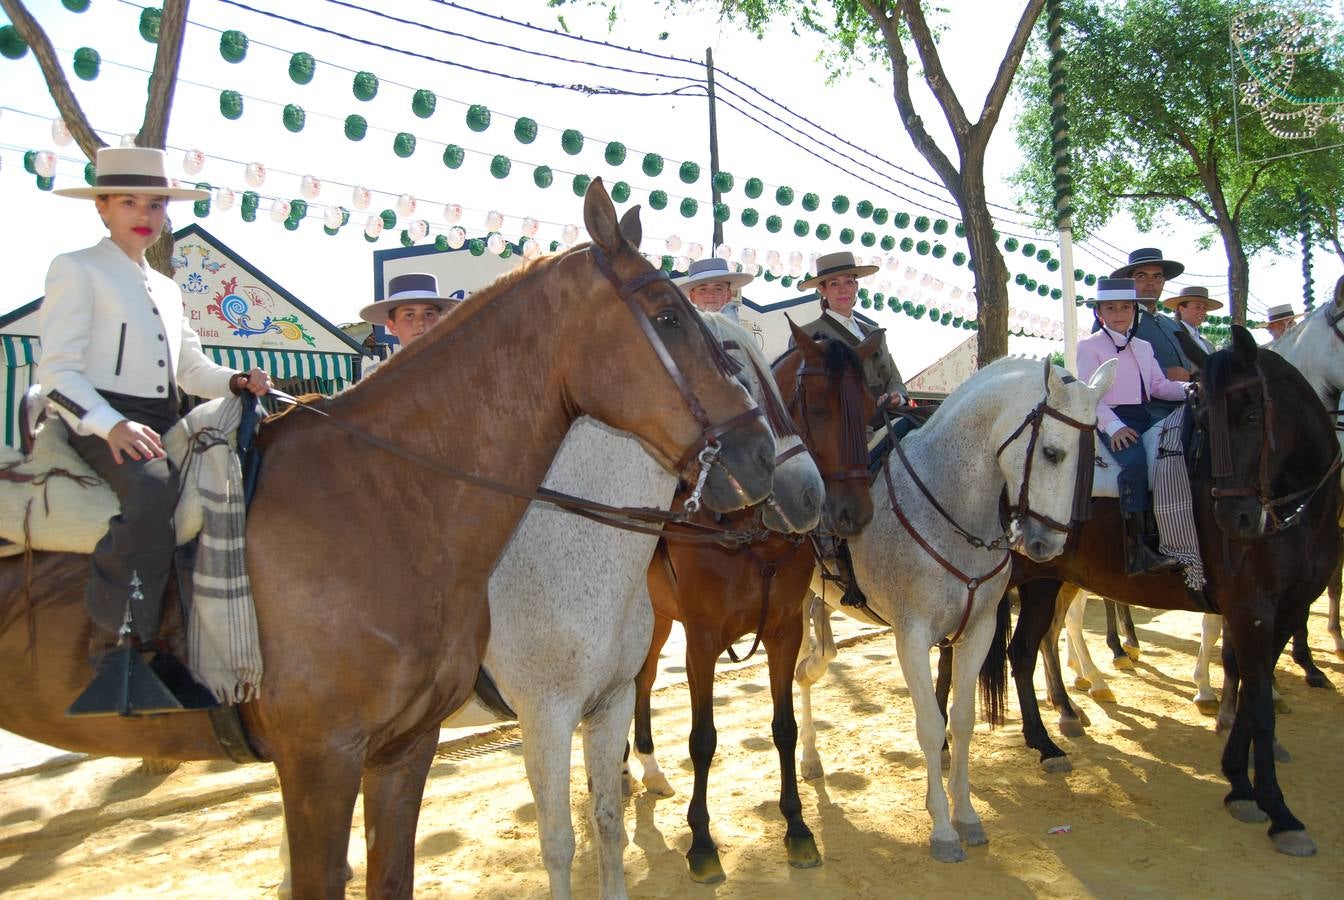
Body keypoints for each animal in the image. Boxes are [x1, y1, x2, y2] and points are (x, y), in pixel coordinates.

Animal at [0, 180, 779, 897]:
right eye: (669, 315)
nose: (767, 462)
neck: (383, 503)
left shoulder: (409, 748)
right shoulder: (341, 757)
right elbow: (553, 840)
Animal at [626, 321, 881, 886]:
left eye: (871, 405)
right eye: (819, 408)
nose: (852, 514)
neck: (749, 530)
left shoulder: (785, 630)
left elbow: (784, 728)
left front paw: (798, 829)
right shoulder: (700, 640)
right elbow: (702, 739)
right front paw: (702, 843)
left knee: (642, 680)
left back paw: (647, 769)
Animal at [951, 326, 1338, 859]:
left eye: (1252, 416)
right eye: (1204, 422)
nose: (1235, 520)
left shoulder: (1285, 611)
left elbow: (1247, 684)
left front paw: (1239, 780)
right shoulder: (1250, 610)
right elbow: (1257, 702)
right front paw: (1279, 811)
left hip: (1044, 582)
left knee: (1024, 651)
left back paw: (1048, 739)